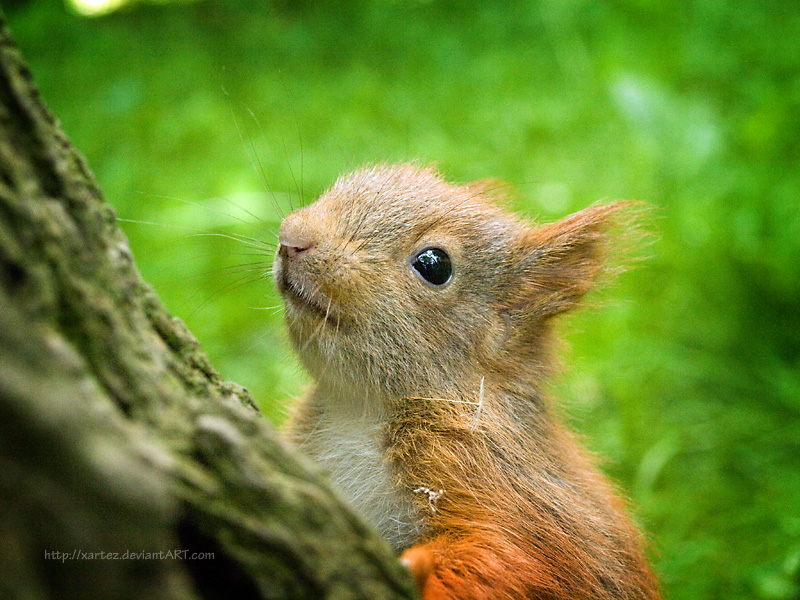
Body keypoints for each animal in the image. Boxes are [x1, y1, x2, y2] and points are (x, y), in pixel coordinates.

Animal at [272, 162, 660, 596]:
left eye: (434, 264)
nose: (292, 236)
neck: (357, 409)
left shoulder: (507, 486)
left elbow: (507, 556)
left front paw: (420, 569)